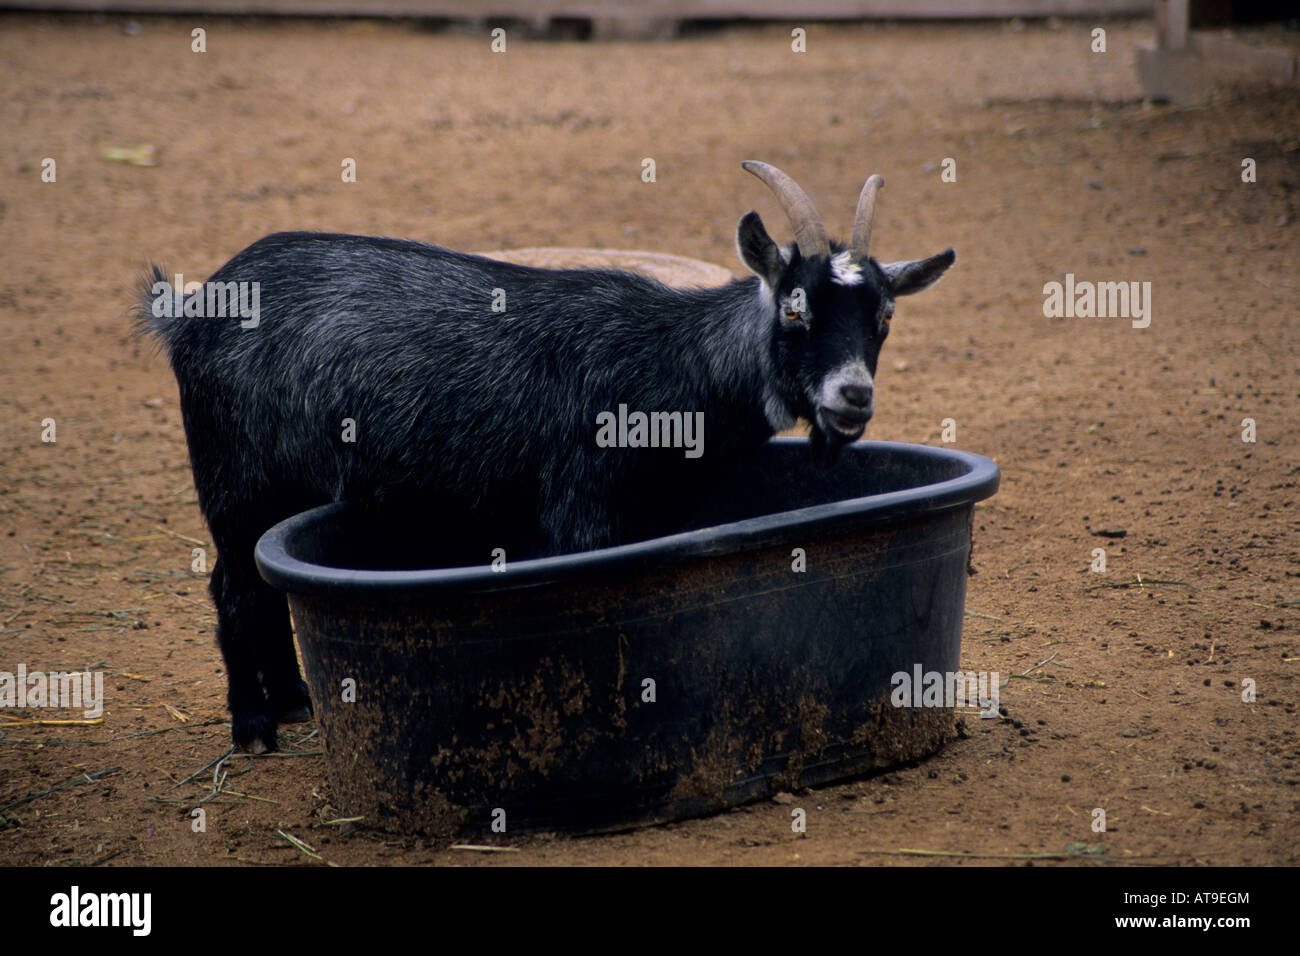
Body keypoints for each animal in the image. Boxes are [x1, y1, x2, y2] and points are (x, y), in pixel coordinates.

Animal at [137, 160, 956, 754]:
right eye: (794, 307)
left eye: (885, 316)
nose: (853, 396)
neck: (671, 362)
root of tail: (189, 309)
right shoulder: (580, 508)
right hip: (234, 474)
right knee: (232, 585)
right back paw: (254, 727)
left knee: (259, 578)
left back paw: (295, 701)